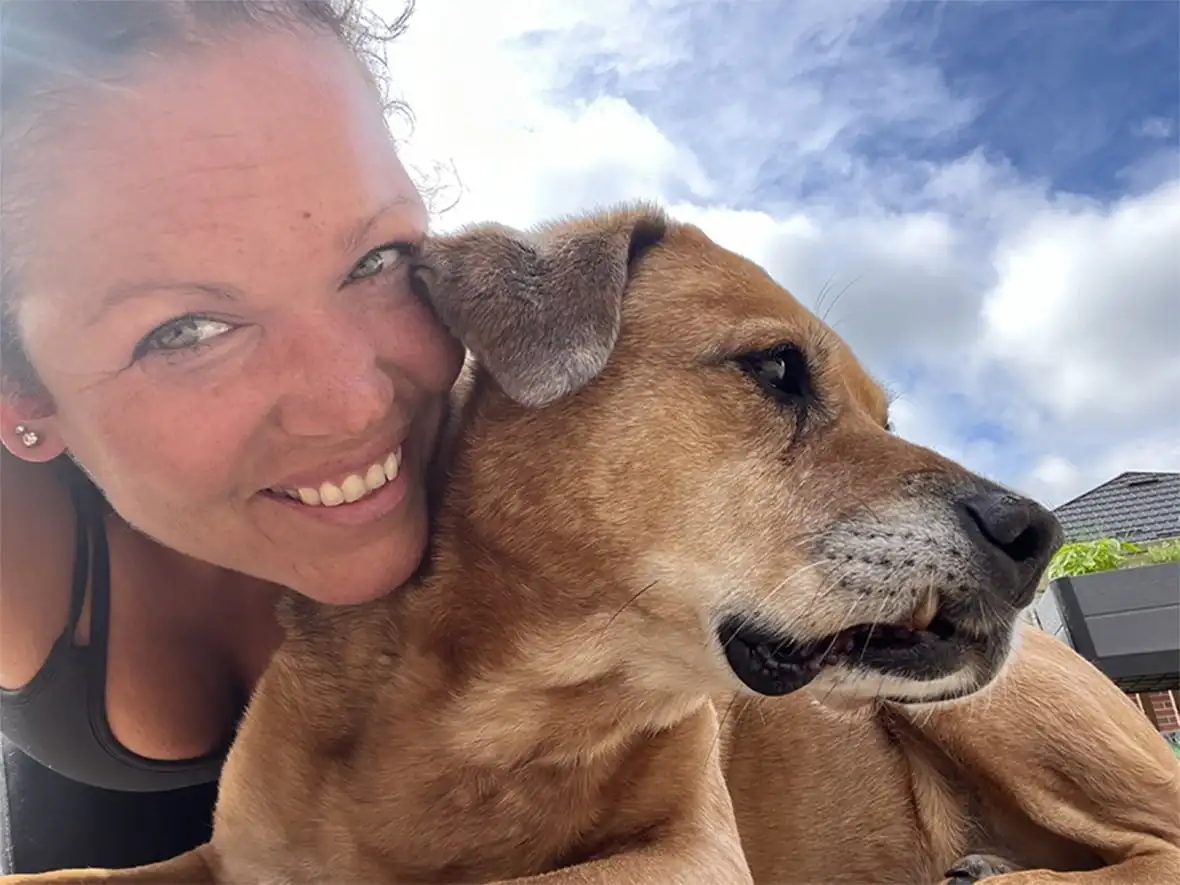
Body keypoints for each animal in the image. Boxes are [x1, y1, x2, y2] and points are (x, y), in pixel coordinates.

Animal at [4, 207, 1175, 885]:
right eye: (777, 369)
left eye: (885, 418)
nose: (1035, 534)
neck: (502, 720)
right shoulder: (222, 853)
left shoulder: (686, 853)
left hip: (1010, 714)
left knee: (1151, 850)